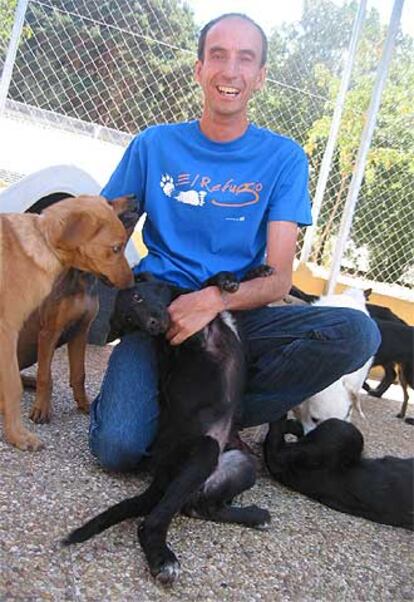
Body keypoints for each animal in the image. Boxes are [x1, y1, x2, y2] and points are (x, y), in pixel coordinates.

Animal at [0, 195, 133, 448]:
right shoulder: (16, 331)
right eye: (116, 248)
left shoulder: (80, 330)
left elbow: (78, 373)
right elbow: (15, 387)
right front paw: (19, 436)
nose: (132, 284)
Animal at [64, 266, 272, 580]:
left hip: (243, 465)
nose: (152, 326)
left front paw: (234, 278)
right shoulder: (190, 341)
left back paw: (255, 516)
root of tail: (160, 477)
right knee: (153, 521)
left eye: (138, 297)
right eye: (129, 321)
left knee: (201, 508)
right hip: (204, 451)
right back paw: (163, 560)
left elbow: (206, 286)